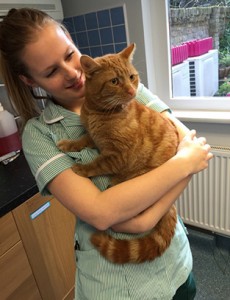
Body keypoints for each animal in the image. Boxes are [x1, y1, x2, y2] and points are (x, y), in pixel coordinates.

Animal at [58, 43, 180, 264]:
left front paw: (81, 168)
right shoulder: (93, 138)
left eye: (132, 77)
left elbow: (97, 163)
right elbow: (82, 140)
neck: (96, 112)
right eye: (114, 81)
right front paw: (69, 144)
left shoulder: (117, 155)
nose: (132, 90)